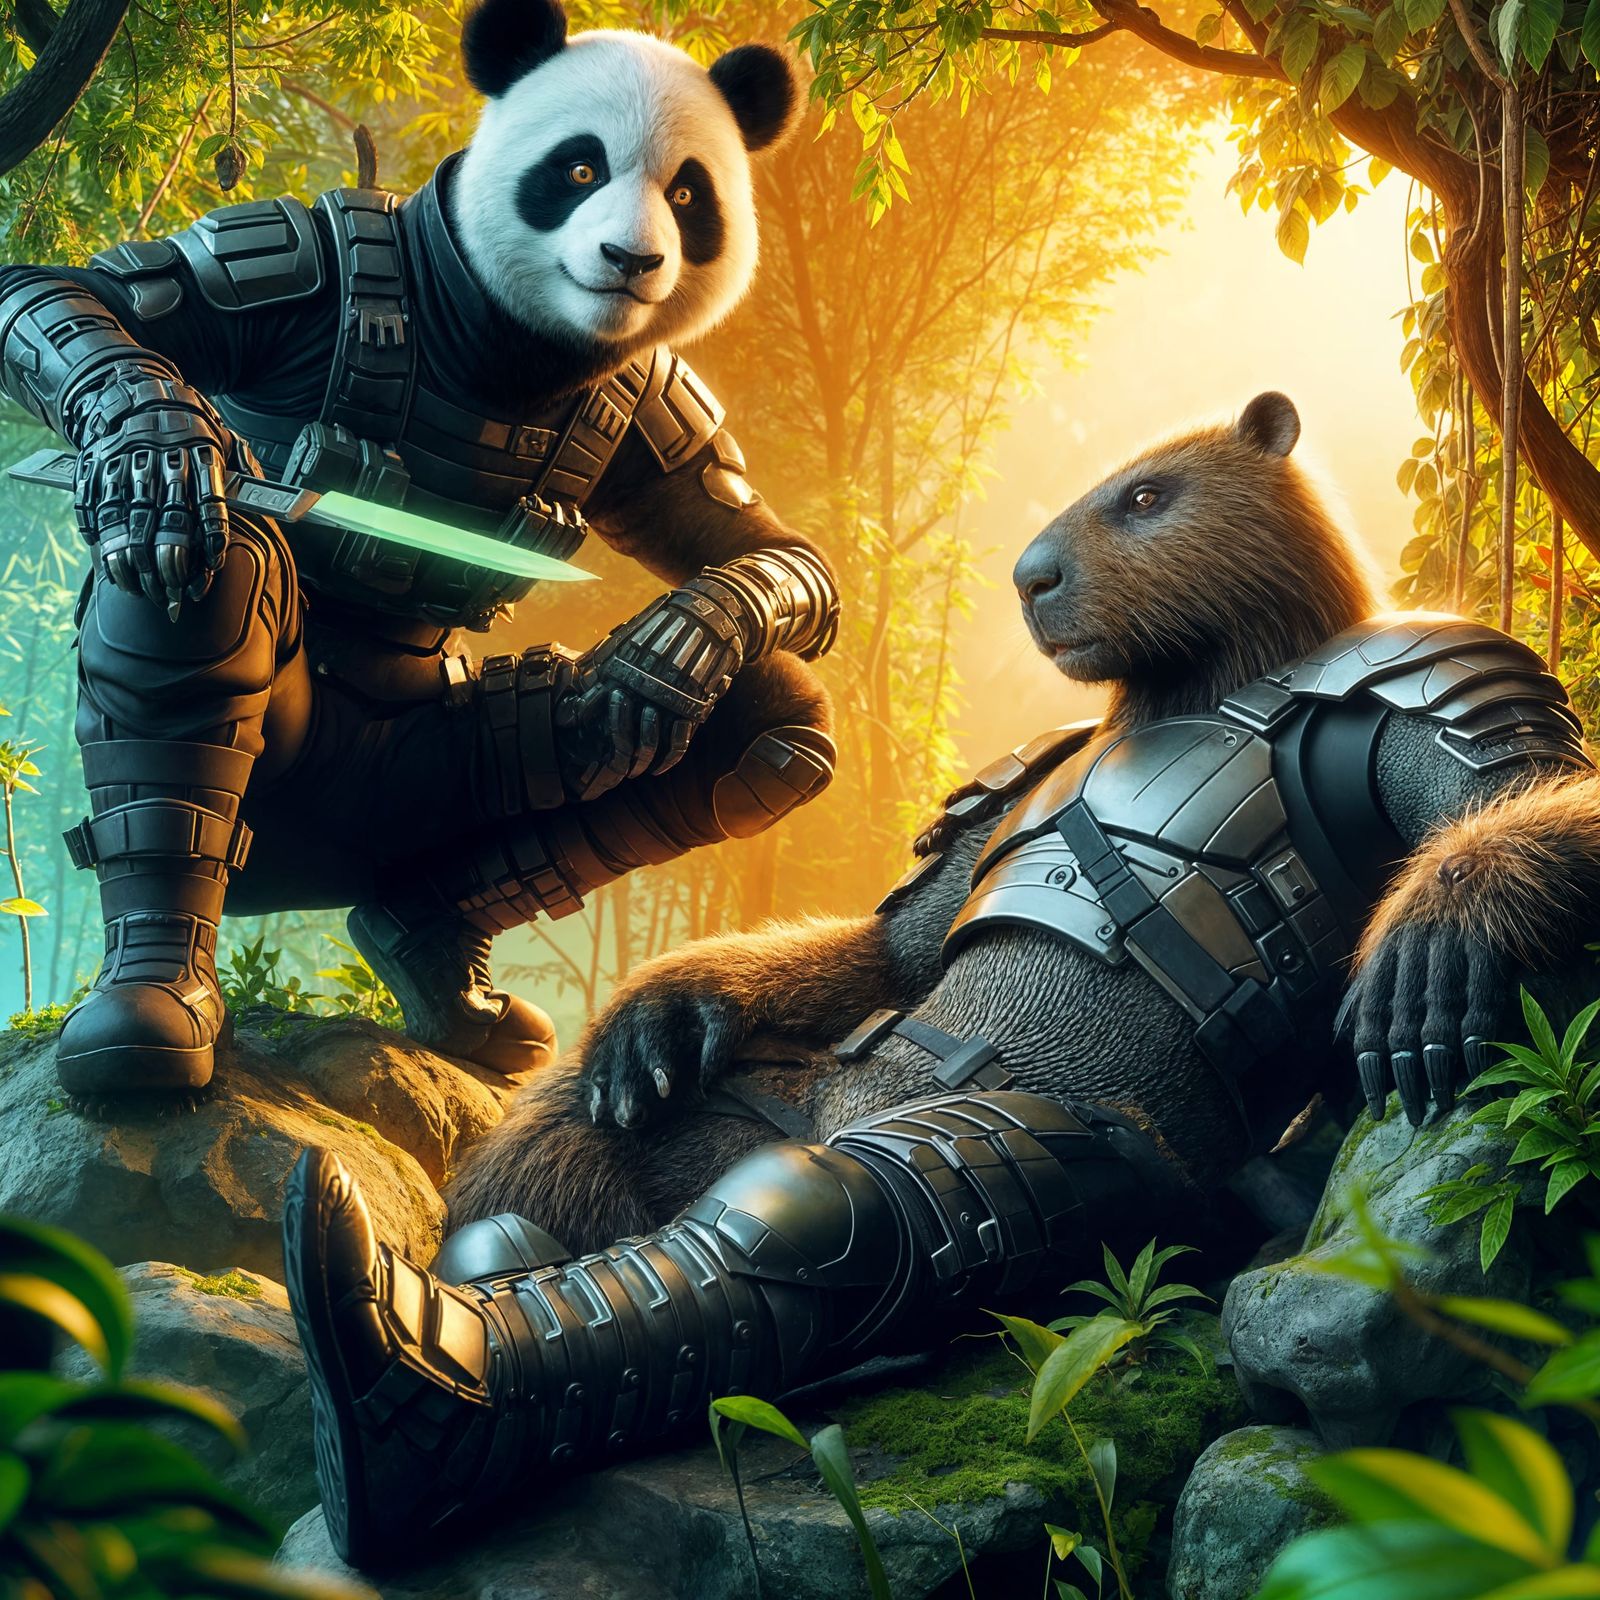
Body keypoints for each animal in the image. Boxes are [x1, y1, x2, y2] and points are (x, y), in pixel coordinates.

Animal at [0, 0, 840, 1106]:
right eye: (577, 168)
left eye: (688, 192)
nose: (633, 260)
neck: (504, 348)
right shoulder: (288, 259)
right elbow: (71, 292)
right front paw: (157, 443)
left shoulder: (655, 391)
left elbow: (766, 547)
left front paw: (680, 638)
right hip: (272, 805)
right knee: (207, 573)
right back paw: (151, 1004)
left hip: (434, 779)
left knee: (763, 732)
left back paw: (436, 959)